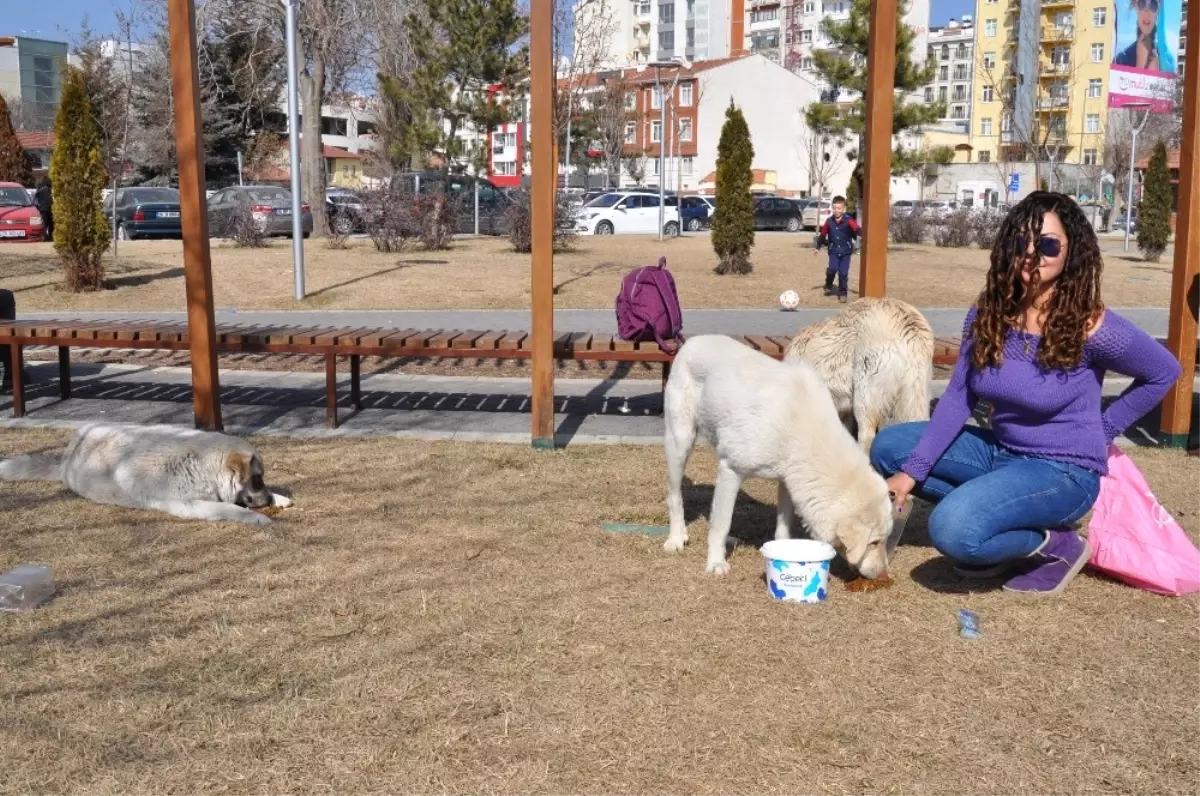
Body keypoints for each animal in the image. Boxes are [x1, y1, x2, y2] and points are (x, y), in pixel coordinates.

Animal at [0, 420, 290, 525]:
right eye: (257, 479)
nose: (266, 499)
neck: (201, 464)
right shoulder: (189, 504)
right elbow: (229, 508)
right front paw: (257, 517)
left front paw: (280, 497)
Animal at [667, 336, 892, 578]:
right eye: (874, 543)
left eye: (885, 540)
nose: (884, 575)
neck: (800, 427)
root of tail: (692, 340)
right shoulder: (731, 470)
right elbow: (720, 525)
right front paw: (716, 563)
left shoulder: (788, 481)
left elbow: (782, 529)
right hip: (680, 443)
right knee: (675, 497)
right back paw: (676, 538)